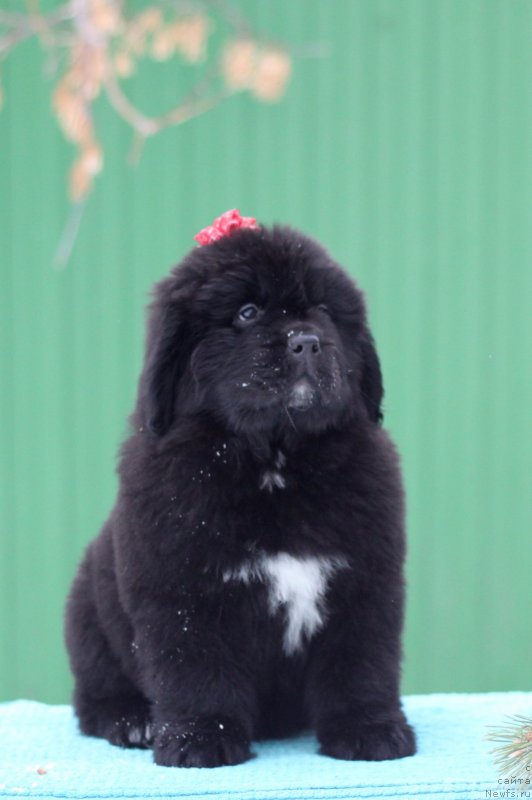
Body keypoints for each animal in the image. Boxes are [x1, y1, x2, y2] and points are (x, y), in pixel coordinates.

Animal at [65, 214, 416, 768]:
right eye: (247, 313)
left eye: (323, 311)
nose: (306, 341)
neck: (274, 461)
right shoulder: (183, 592)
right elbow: (196, 671)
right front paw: (200, 740)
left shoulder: (365, 582)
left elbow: (362, 663)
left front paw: (370, 730)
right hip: (87, 617)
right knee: (92, 697)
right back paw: (131, 721)